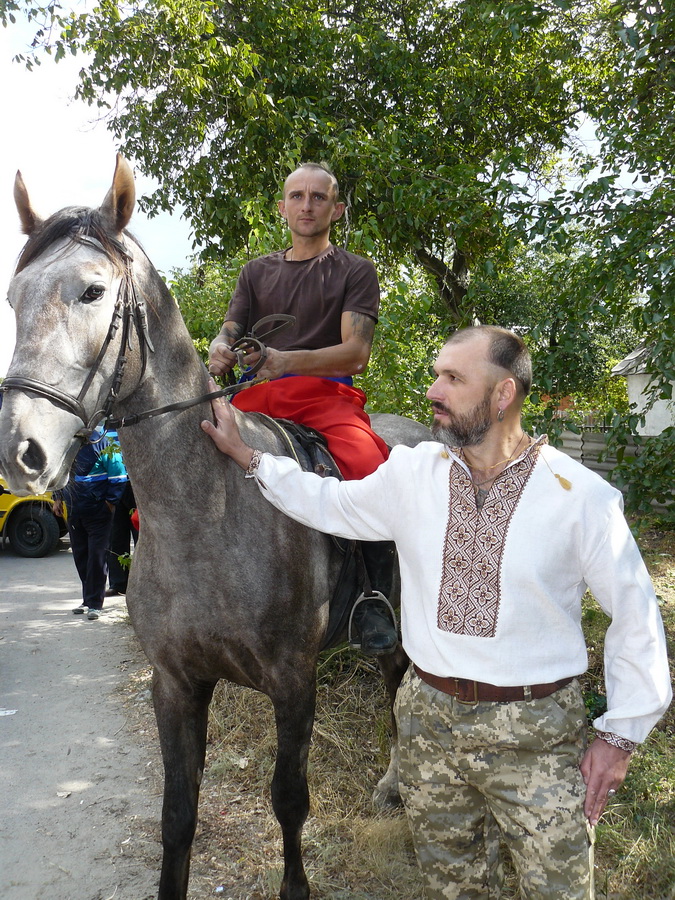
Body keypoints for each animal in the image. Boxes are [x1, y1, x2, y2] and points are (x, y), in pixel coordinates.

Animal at [0, 158, 430, 896]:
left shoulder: (294, 683)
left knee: (402, 689)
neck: (206, 513)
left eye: (91, 291)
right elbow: (177, 816)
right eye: (13, 297)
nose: (20, 452)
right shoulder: (175, 685)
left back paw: (398, 786)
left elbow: (289, 800)